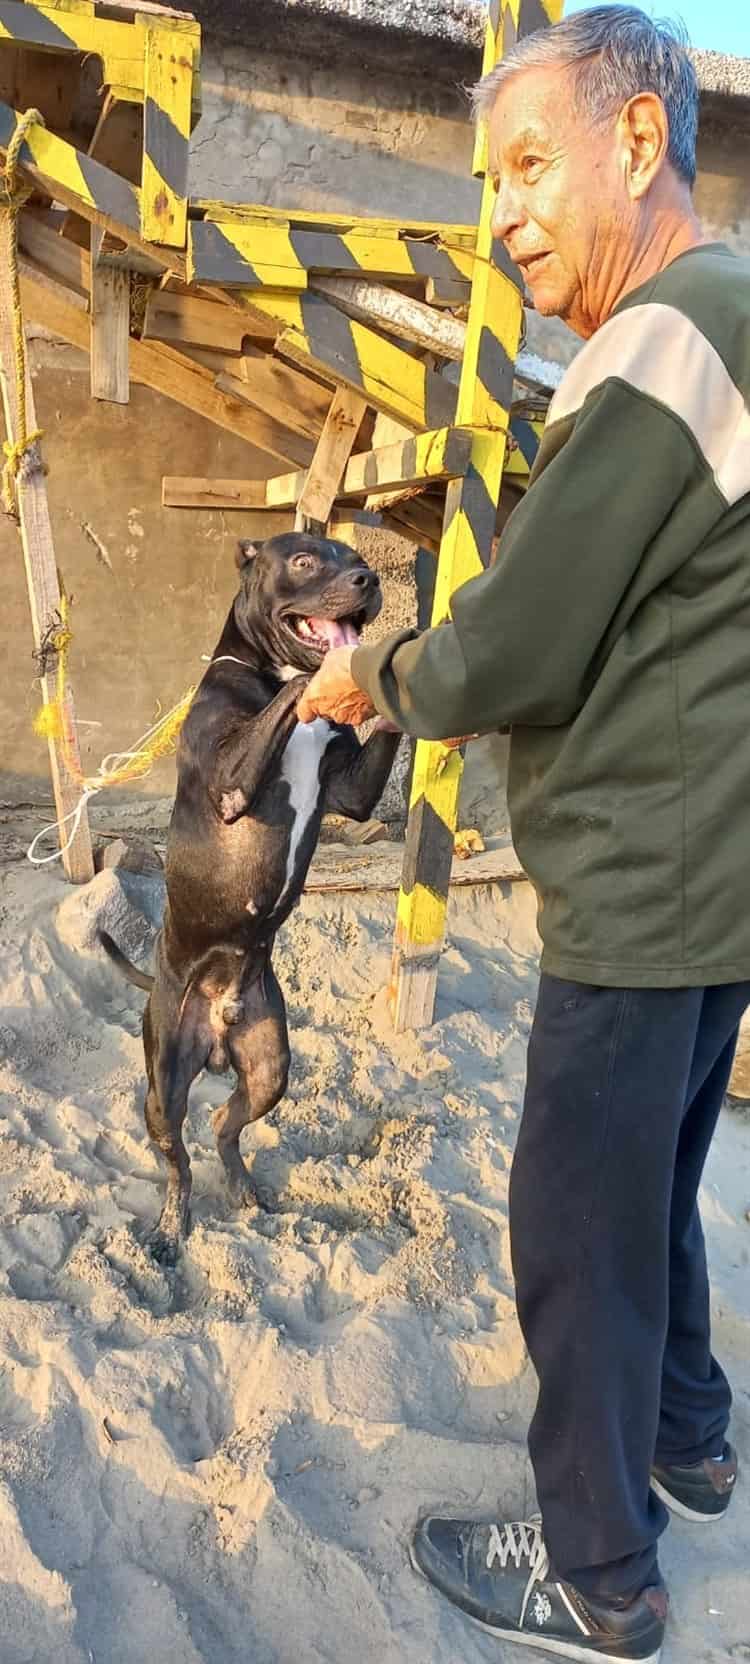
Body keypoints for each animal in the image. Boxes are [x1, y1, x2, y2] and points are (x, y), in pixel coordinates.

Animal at [104, 532, 405, 1257]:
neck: (263, 670)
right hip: (164, 1082)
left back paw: (242, 1188)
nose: (369, 579)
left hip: (269, 1066)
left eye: (356, 557)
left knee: (224, 1127)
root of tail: (219, 1018)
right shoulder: (231, 788)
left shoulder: (351, 792)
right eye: (304, 561)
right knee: (178, 1158)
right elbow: (297, 688)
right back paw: (171, 1226)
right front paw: (315, 682)